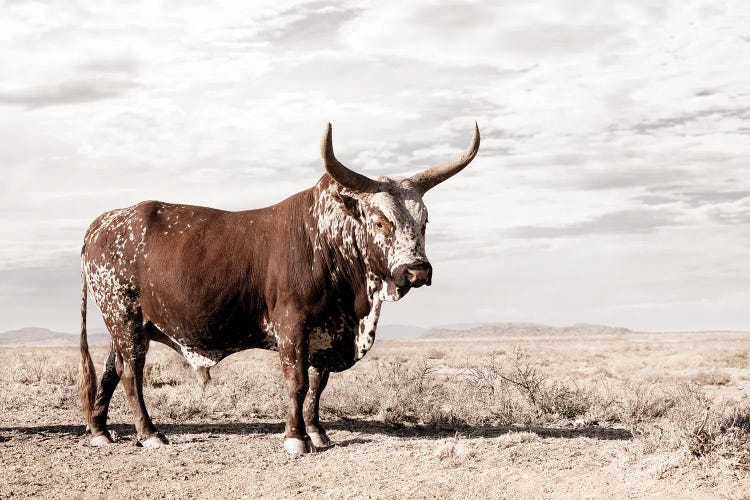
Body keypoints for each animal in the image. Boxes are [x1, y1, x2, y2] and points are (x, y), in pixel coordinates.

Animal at [79, 121, 482, 454]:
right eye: (381, 222)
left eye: (425, 221)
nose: (417, 271)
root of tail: (103, 222)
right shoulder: (293, 326)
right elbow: (298, 382)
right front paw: (296, 437)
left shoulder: (327, 332)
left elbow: (318, 384)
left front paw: (317, 431)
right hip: (124, 318)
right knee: (132, 373)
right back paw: (149, 434)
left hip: (129, 325)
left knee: (112, 369)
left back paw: (100, 430)